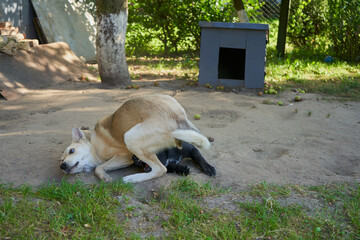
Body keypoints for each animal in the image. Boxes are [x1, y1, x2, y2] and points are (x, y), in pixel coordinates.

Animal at [59, 93, 211, 182]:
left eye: (71, 151)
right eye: (61, 160)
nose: (62, 165)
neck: (93, 145)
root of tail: (178, 115)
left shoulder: (124, 156)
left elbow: (99, 168)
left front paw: (103, 176)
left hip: (130, 138)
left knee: (161, 169)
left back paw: (133, 178)